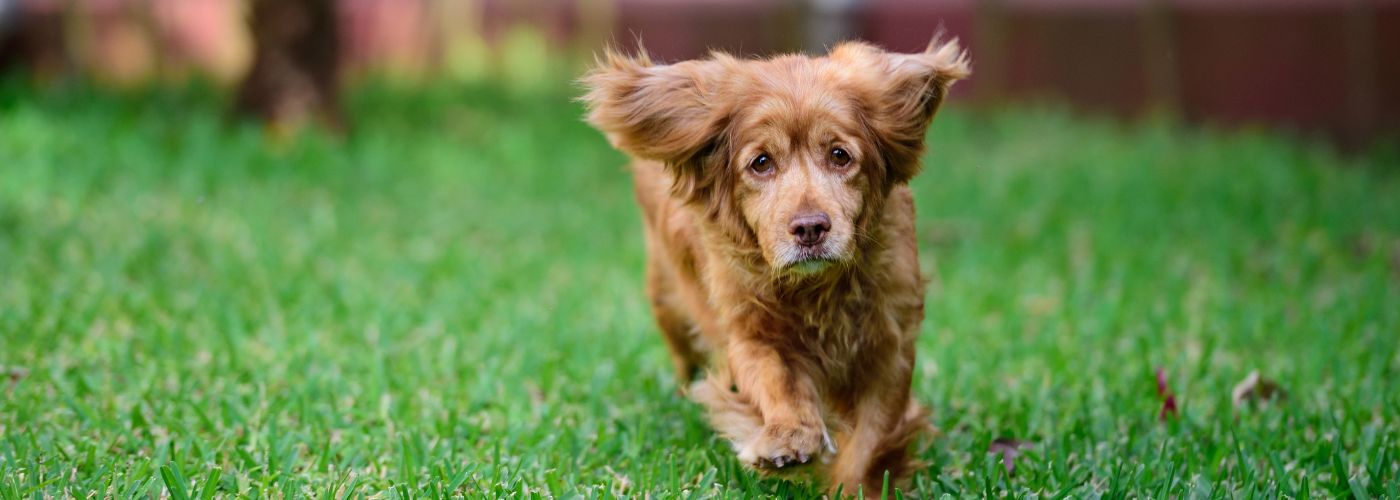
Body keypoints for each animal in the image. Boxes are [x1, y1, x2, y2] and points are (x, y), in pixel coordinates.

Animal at [585, 39, 968, 495]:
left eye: (840, 156)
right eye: (761, 163)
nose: (810, 228)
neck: (815, 290)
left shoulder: (887, 347)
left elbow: (870, 442)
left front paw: (854, 487)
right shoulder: (751, 333)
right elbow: (776, 380)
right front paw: (789, 440)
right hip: (671, 311)